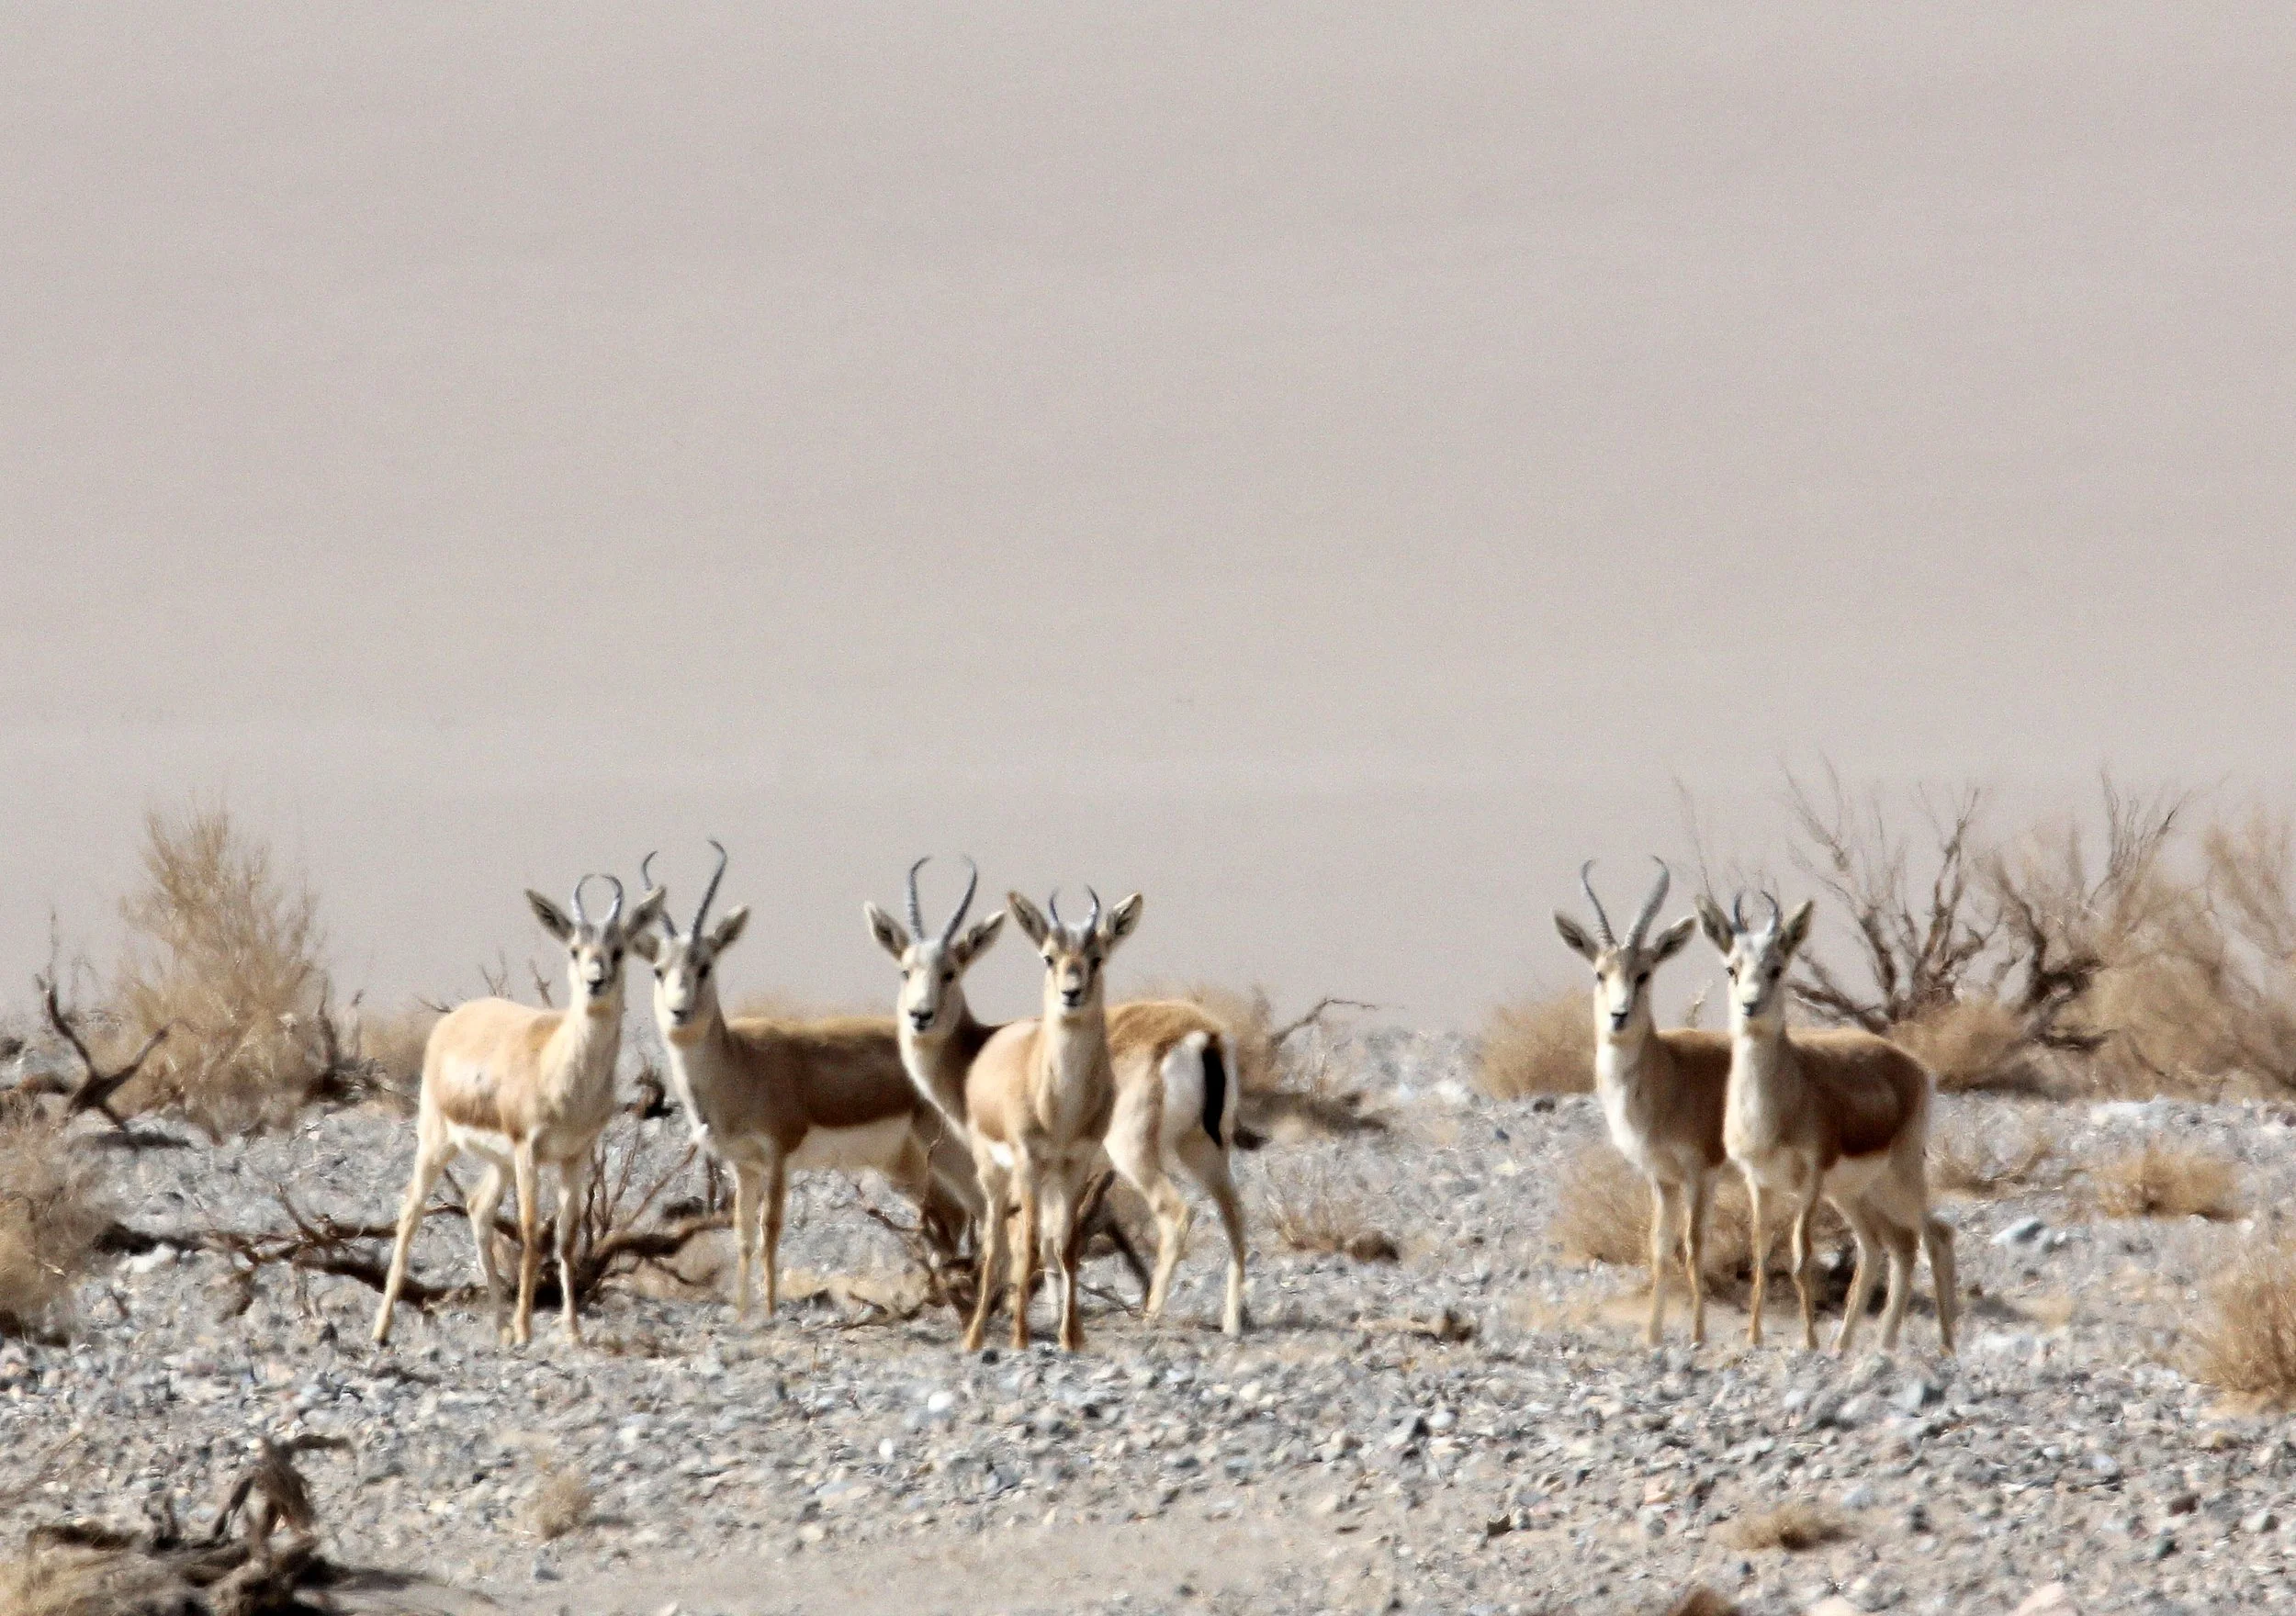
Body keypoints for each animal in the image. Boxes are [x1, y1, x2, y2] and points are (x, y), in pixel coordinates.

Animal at [373, 873, 665, 1348]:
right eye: (574, 949)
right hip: (438, 1143)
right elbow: (530, 1233)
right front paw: (528, 1327)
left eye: (618, 949)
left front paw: (571, 1330)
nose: (596, 981)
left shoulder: (575, 1156)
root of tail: (454, 1019)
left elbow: (566, 1239)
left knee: (478, 1208)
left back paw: (500, 1326)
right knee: (411, 1210)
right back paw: (382, 1330)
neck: (559, 1065)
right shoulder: (529, 1150)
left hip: (500, 1162)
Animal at [630, 843, 981, 1321]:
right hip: (907, 1167)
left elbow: (771, 1229)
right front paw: (743, 1314)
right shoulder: (742, 1165)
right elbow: (743, 1235)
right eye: (658, 969)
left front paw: (770, 1311)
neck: (739, 1063)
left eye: (705, 966)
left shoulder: (778, 1157)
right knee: (952, 1215)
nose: (679, 1013)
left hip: (951, 1156)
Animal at [866, 863, 1247, 1347]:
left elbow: (1022, 1243)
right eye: (905, 969)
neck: (976, 1052)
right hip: (1203, 1147)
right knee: (1235, 1216)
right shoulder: (1054, 1172)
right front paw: (1056, 1321)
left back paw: (1151, 1314)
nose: (920, 1016)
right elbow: (1052, 1243)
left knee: (1176, 1213)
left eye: (951, 971)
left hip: (1136, 1153)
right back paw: (1234, 1320)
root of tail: (1204, 1035)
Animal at [1554, 858, 1730, 1347]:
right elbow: (1659, 1249)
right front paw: (1652, 1337)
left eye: (1644, 973)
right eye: (1600, 972)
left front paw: (1698, 1336)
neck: (1670, 1075)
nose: (1619, 1015)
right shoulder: (1662, 1178)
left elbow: (1695, 1247)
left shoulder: (1701, 1175)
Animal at [1696, 892, 1959, 1355]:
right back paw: (1868, 1344)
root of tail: (1912, 1064)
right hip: (1855, 1193)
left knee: (1935, 1236)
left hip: (1899, 1177)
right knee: (1888, 1246)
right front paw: (1755, 1337)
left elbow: (1801, 1258)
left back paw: (1944, 1345)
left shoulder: (1811, 1181)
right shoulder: (1758, 1182)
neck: (1778, 1104)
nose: (1750, 1006)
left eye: (1777, 967)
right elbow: (1761, 1257)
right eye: (1731, 967)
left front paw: (1809, 1340)